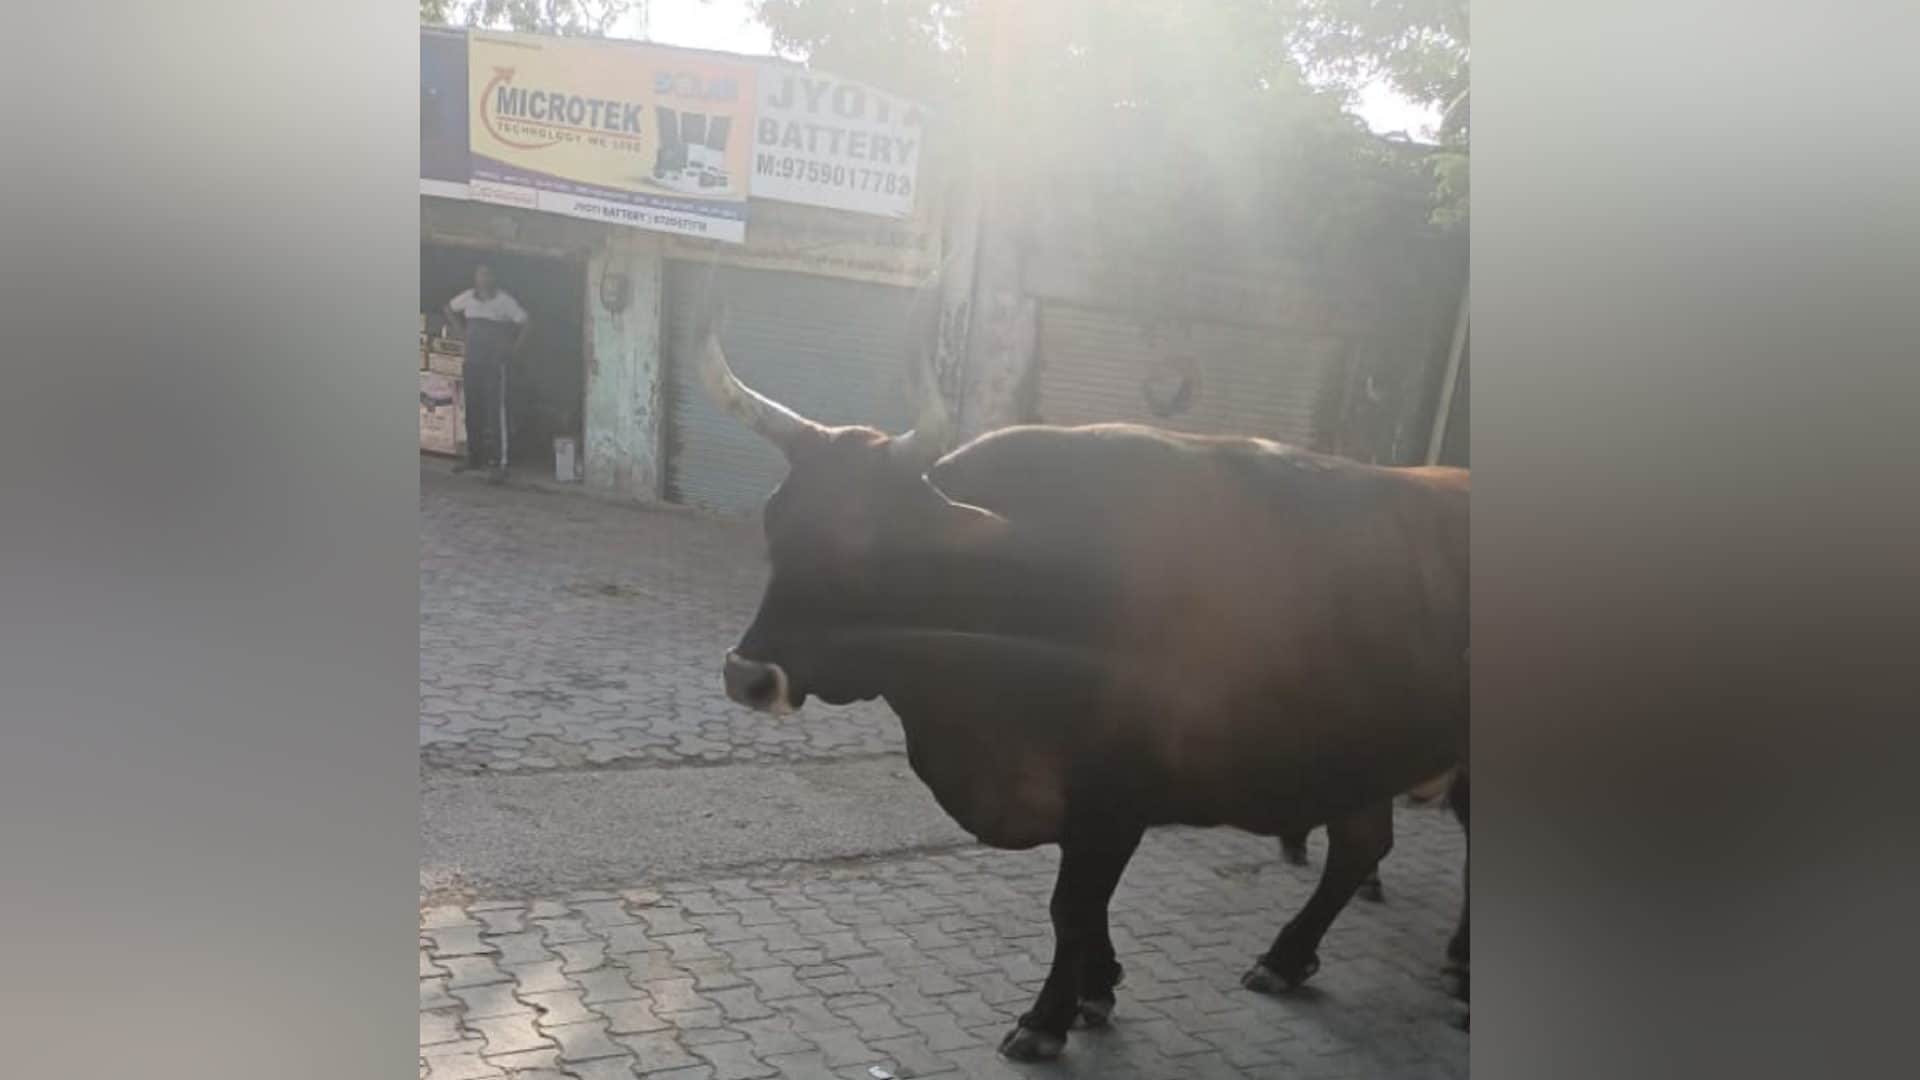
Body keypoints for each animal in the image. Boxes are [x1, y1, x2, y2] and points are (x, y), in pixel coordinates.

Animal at [696, 328, 1469, 1061]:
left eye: (871, 549)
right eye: (775, 522)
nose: (747, 674)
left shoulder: (1114, 798)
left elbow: (1071, 907)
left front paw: (1045, 1021)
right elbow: (1085, 910)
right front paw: (1098, 988)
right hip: (1364, 747)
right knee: (1361, 847)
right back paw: (1287, 958)